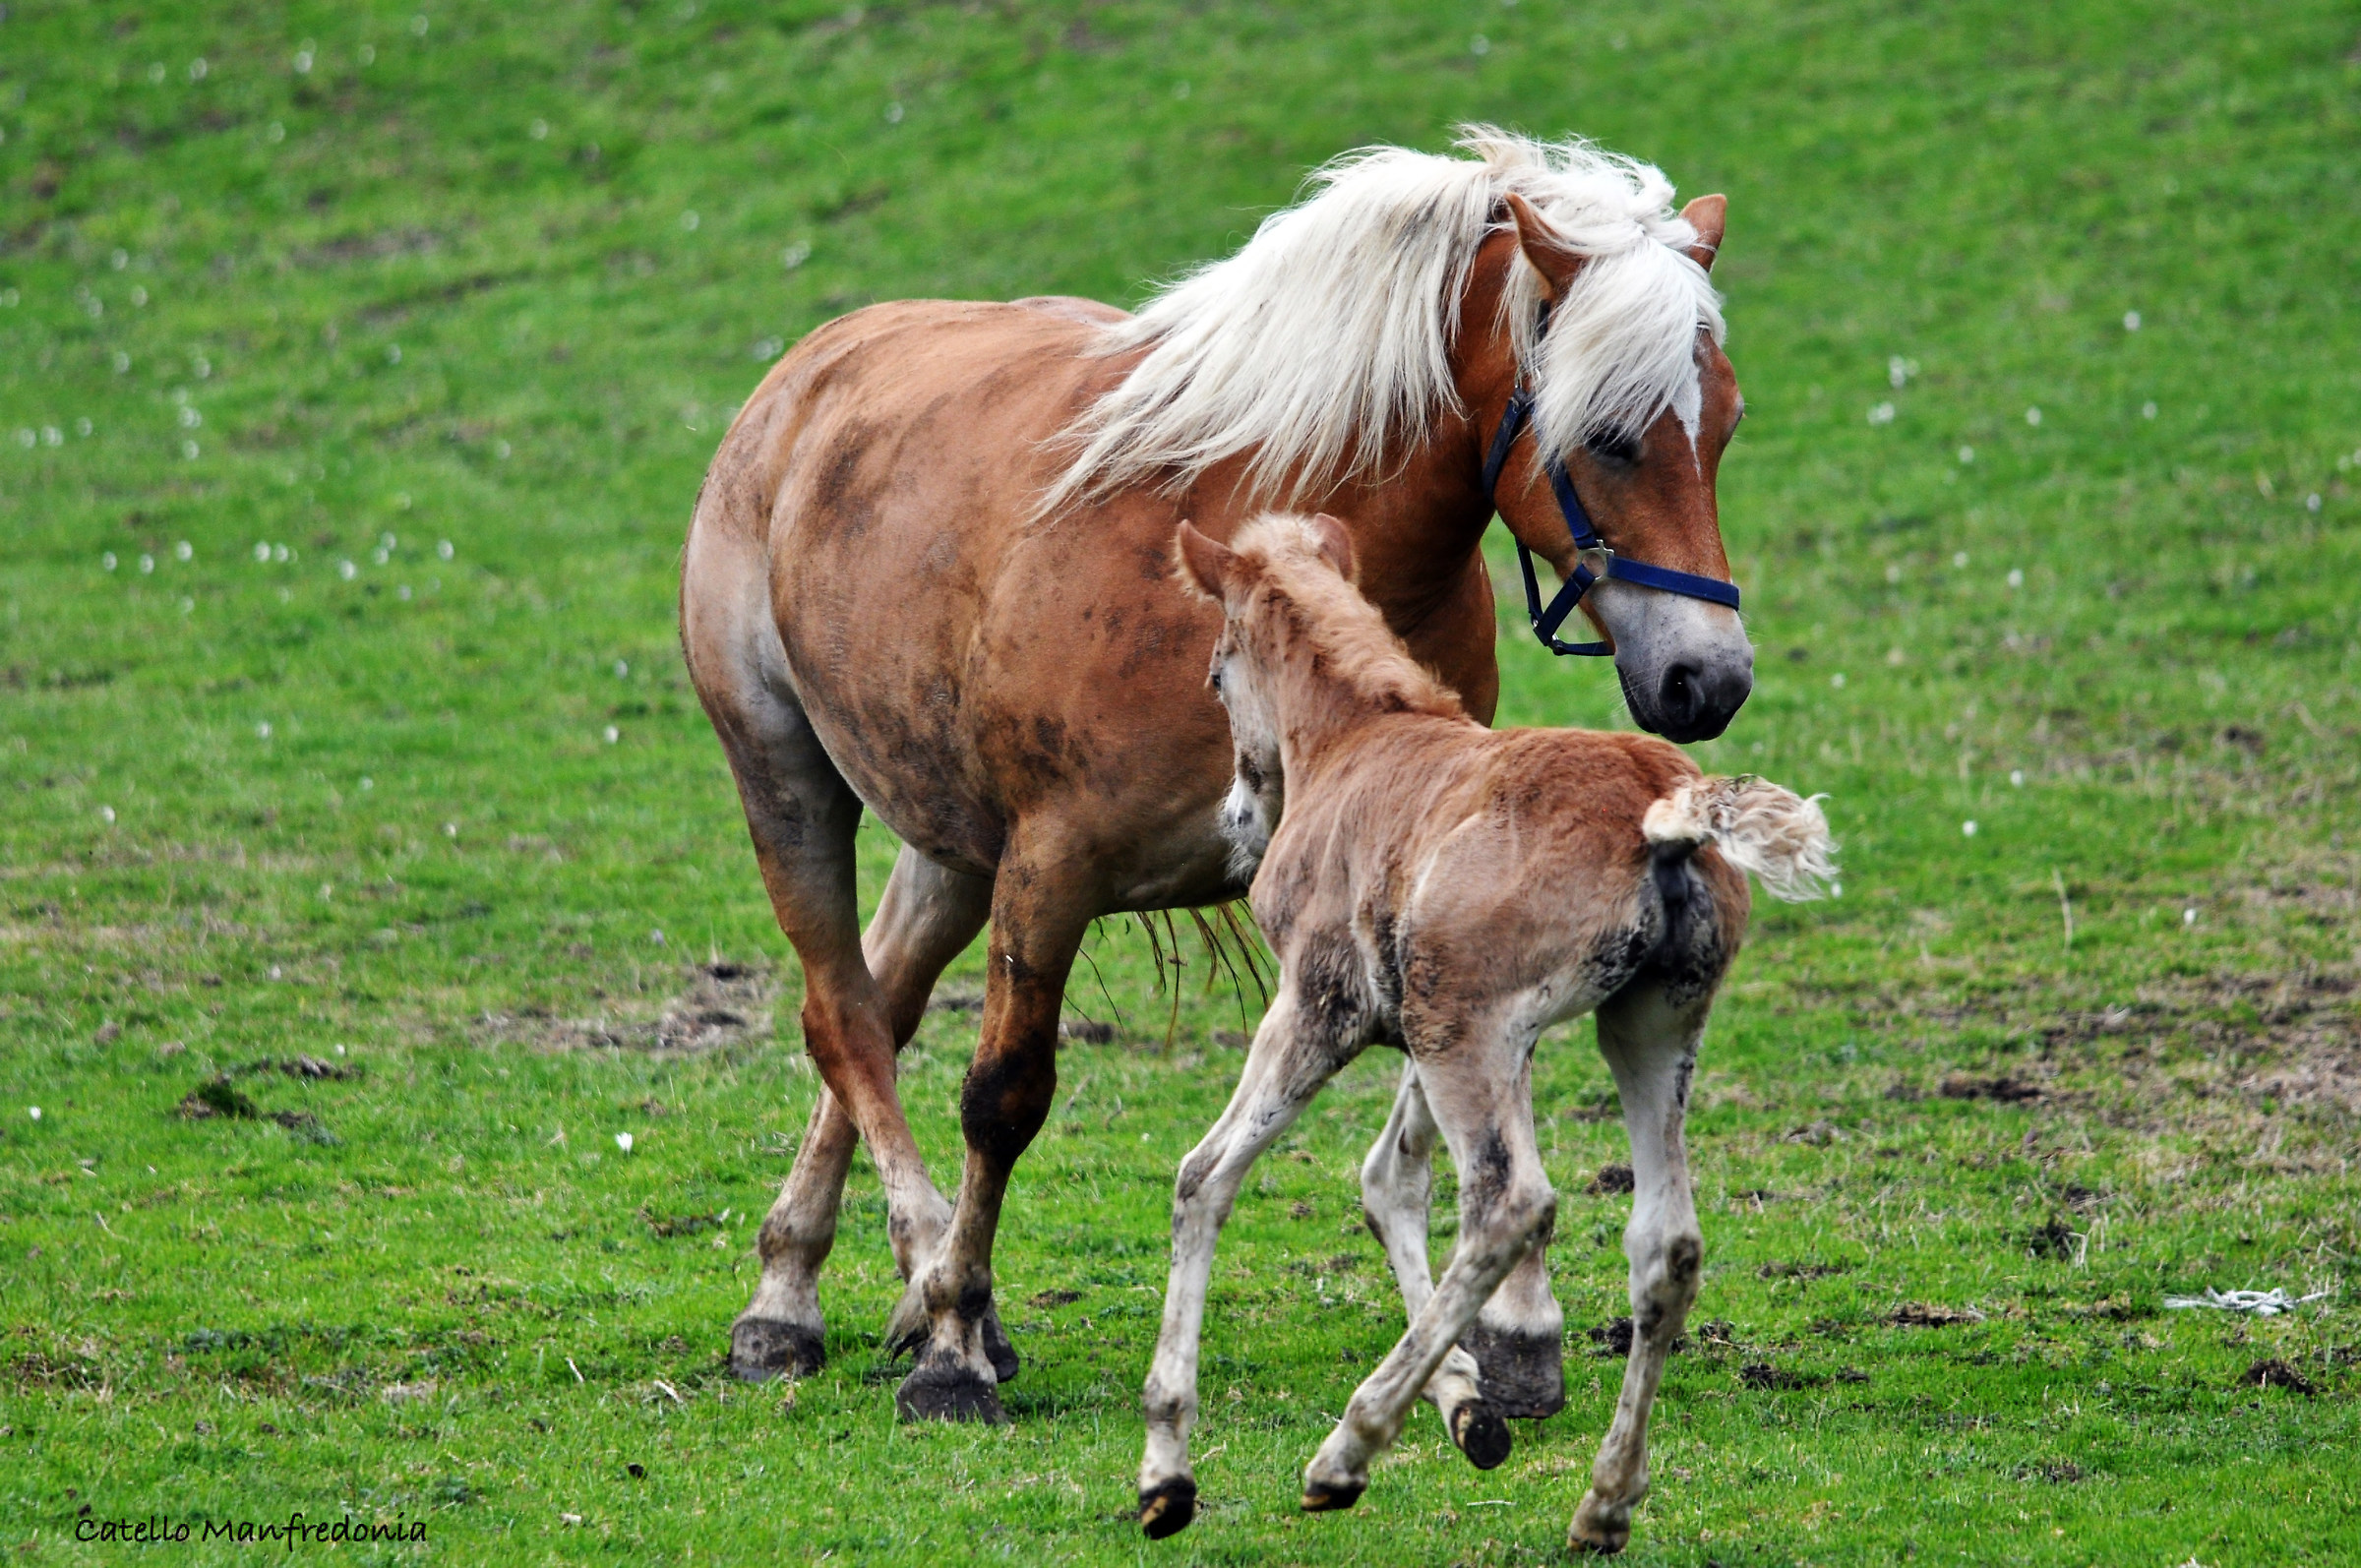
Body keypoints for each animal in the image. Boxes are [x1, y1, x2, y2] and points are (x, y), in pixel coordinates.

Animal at [679, 127, 1754, 1425]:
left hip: (954, 848)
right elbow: (1003, 1093)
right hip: (787, 777)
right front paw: (951, 1347)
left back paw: (807, 1276)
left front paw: (1515, 1329)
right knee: (844, 1017)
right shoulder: (1050, 869)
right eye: (1609, 437)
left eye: (1723, 428)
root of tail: (807, 372)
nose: (1710, 678)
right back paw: (878, 1286)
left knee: (878, 1002)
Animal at [1143, 513, 1833, 1552]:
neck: (1360, 738)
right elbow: (1389, 1182)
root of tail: (1663, 807)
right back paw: (1604, 1503)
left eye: (1218, 676)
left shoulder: (1317, 1008)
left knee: (1510, 1205)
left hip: (1464, 1029)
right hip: (1641, 1029)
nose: (1236, 817)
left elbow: (1206, 1176)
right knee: (1665, 1244)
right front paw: (1469, 1405)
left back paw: (1345, 1453)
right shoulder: (1421, 1032)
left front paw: (1166, 1474)